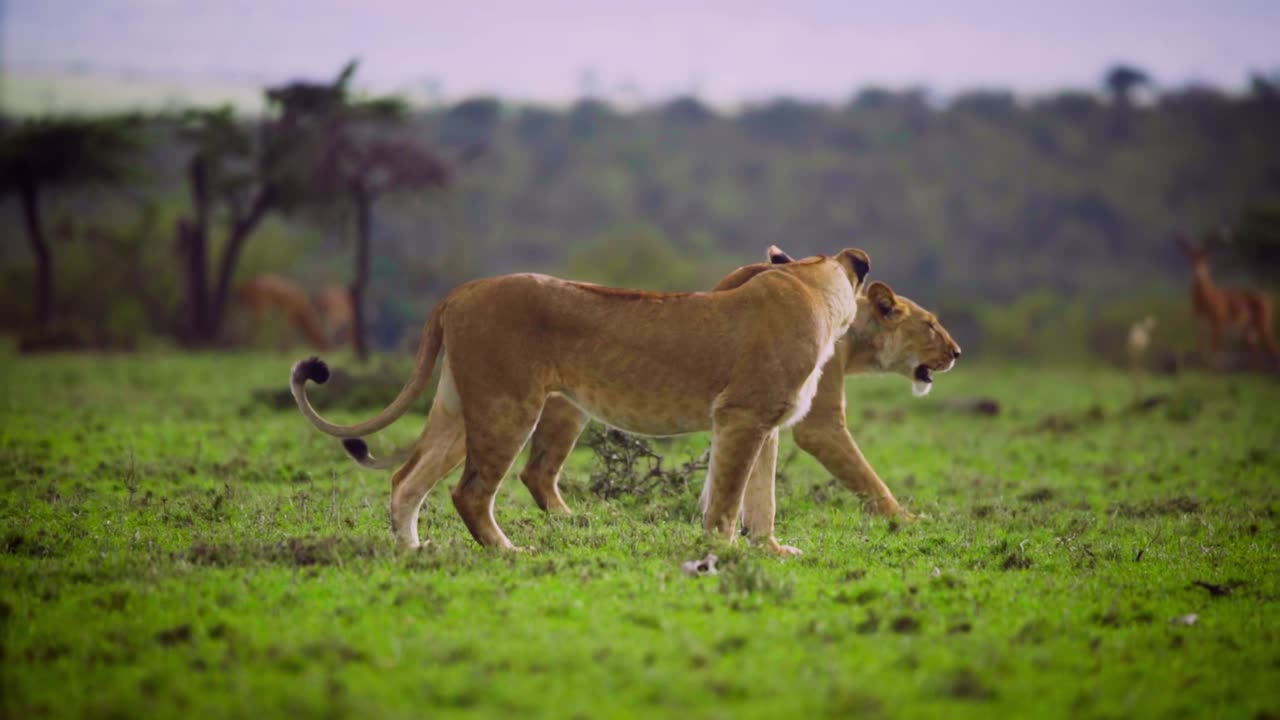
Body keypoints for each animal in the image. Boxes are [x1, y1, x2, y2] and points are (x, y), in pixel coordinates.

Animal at [1177, 229, 1280, 366]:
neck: (1205, 300)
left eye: (1206, 260)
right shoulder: (1199, 322)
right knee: (1257, 352)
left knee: (1274, 348)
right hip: (1249, 330)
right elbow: (1202, 348)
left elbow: (1215, 350)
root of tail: (1266, 297)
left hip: (1264, 325)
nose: (1199, 275)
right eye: (1192, 260)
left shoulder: (1218, 322)